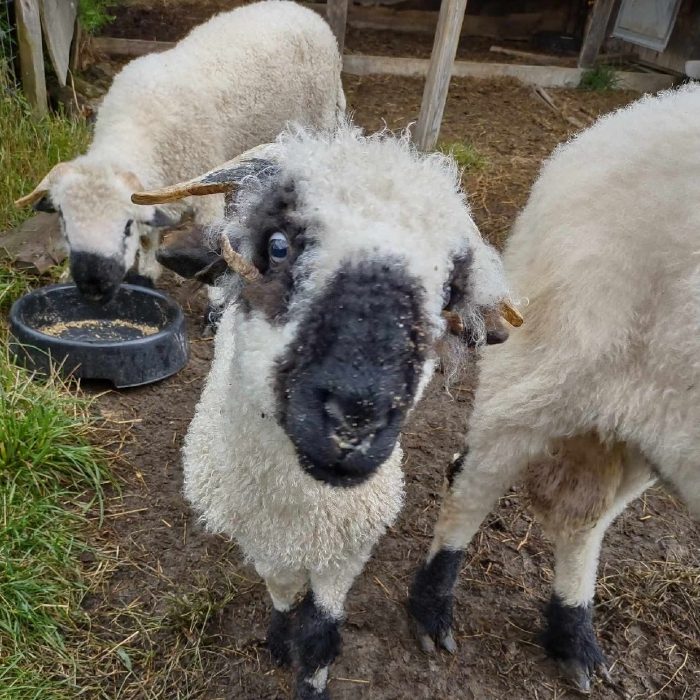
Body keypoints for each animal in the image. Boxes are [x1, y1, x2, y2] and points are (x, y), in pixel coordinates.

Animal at [14, 0, 345, 330]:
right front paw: (146, 274)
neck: (137, 125)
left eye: (125, 226)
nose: (93, 289)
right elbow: (149, 238)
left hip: (319, 116)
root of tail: (299, 9)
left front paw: (215, 308)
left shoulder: (206, 192)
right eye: (64, 222)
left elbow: (214, 242)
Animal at [131, 125, 516, 699]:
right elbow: (282, 591)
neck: (303, 510)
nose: (355, 421)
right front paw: (277, 637)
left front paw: (306, 664)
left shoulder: (347, 548)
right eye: (277, 246)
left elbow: (320, 635)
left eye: (449, 292)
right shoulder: (261, 541)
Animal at [408, 83, 700, 692]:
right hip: (566, 358)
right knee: (477, 476)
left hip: (644, 420)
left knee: (583, 517)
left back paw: (573, 634)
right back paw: (432, 608)